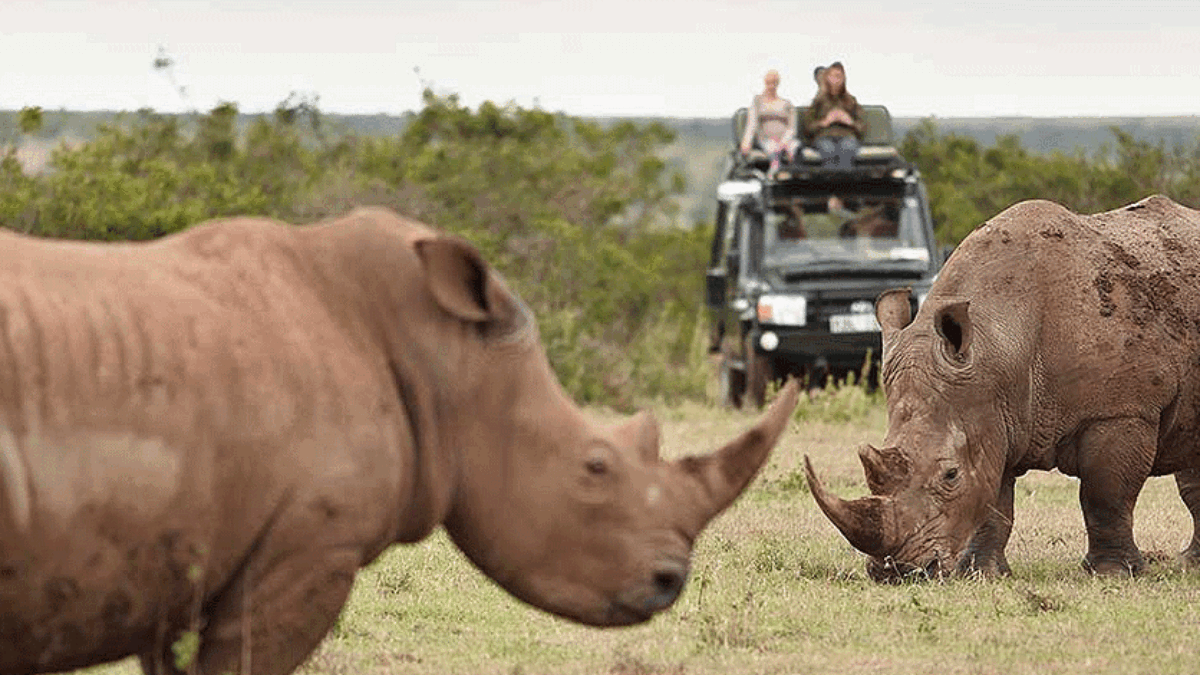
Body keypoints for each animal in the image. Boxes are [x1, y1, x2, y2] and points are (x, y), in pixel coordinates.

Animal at [805, 195, 1200, 580]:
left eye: (950, 475)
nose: (896, 572)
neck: (999, 340)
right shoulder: (989, 413)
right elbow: (993, 502)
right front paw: (982, 573)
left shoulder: (1121, 411)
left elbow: (1104, 496)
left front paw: (1112, 574)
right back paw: (1190, 565)